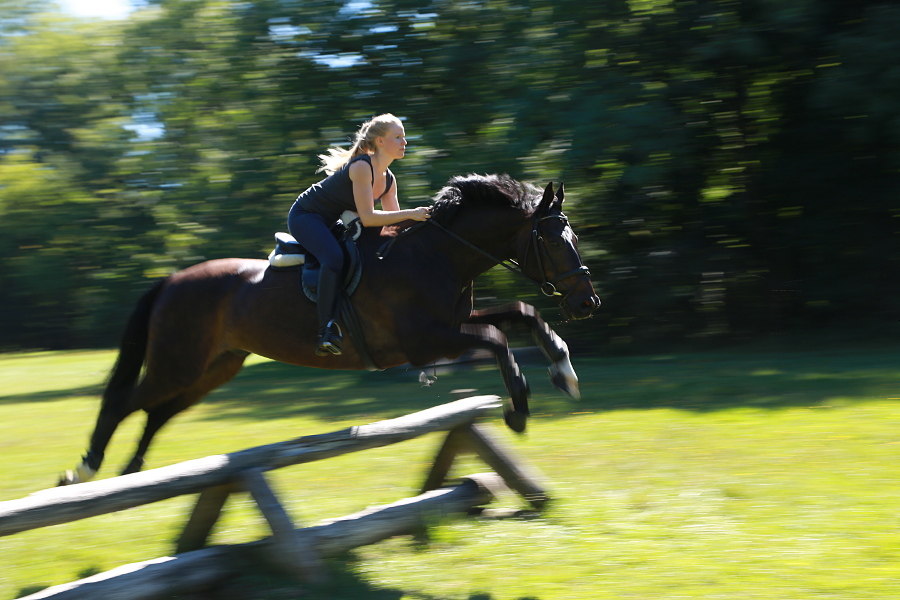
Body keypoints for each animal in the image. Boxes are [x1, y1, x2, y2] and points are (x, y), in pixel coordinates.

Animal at [59, 173, 600, 482]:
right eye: (554, 241)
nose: (587, 302)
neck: (439, 255)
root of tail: (170, 280)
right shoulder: (424, 342)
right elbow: (498, 338)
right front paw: (518, 410)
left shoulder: (450, 325)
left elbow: (521, 313)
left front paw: (564, 371)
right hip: (179, 362)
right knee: (125, 402)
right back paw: (85, 470)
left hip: (213, 368)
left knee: (156, 412)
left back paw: (130, 472)